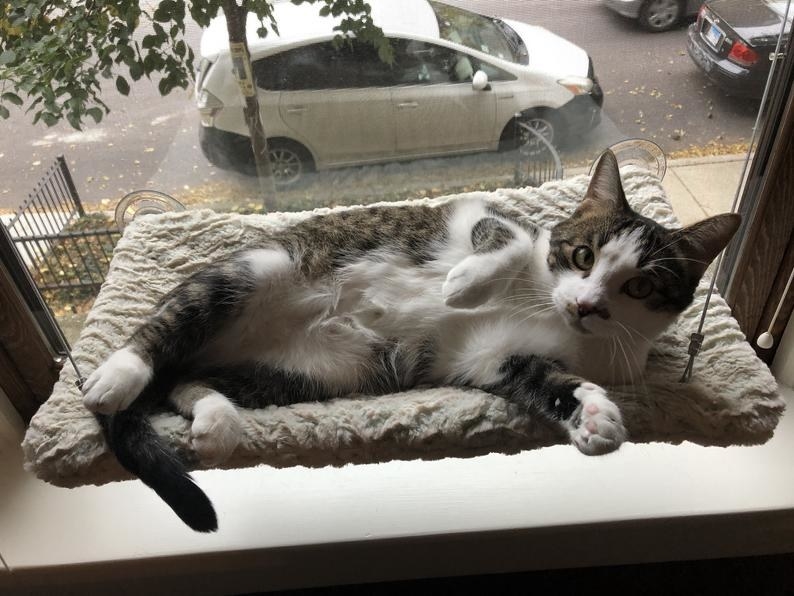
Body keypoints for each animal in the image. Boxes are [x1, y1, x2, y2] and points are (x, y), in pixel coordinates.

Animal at [80, 149, 736, 532]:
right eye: (582, 255)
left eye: (641, 287)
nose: (586, 305)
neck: (550, 311)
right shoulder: (481, 213)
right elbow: (507, 239)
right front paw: (465, 285)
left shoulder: (492, 358)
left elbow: (545, 379)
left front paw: (594, 415)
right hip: (253, 270)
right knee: (163, 330)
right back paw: (115, 378)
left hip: (309, 372)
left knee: (187, 381)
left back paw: (216, 421)